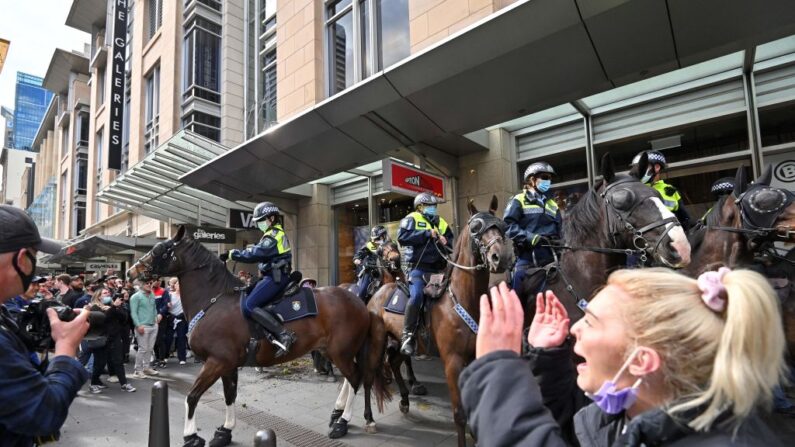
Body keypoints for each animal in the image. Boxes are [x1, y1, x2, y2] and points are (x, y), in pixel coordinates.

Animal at [127, 228, 392, 447]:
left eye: (159, 249)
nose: (131, 271)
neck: (214, 301)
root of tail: (360, 301)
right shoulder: (227, 365)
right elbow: (229, 395)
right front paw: (224, 431)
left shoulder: (216, 362)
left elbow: (192, 397)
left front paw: (191, 437)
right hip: (335, 351)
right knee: (352, 378)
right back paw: (341, 412)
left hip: (341, 351)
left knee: (356, 378)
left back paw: (342, 422)